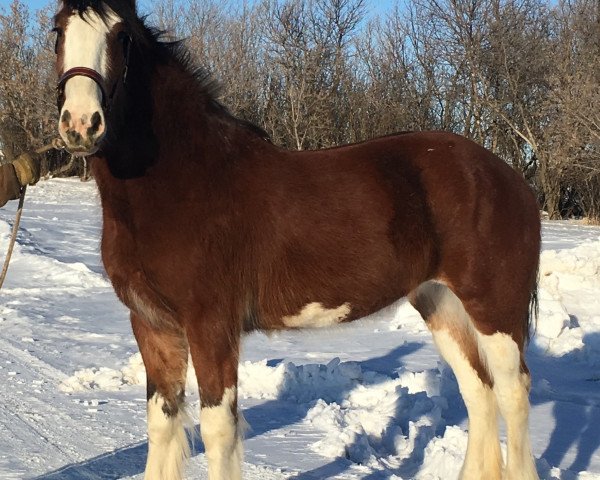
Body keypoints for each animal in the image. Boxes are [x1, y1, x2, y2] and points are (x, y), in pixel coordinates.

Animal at [52, 1, 544, 478]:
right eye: (57, 31)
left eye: (121, 36)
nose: (81, 124)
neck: (183, 182)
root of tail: (508, 177)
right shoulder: (152, 325)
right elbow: (162, 424)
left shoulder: (211, 326)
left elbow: (217, 431)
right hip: (441, 303)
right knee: (478, 392)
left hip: (493, 308)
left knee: (513, 392)